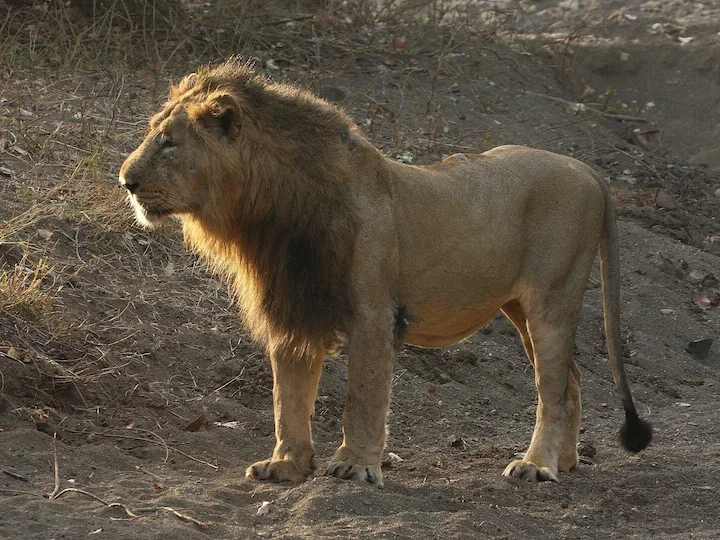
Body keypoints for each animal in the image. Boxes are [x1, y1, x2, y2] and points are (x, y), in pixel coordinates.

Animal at [119, 59, 652, 486]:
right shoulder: (293, 309)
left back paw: (536, 465)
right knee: (571, 380)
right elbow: (287, 399)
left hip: (551, 300)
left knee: (553, 391)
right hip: (519, 308)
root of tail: (586, 168)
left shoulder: (374, 314)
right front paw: (287, 465)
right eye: (154, 134)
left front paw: (356, 465)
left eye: (169, 143)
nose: (125, 181)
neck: (267, 212)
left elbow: (362, 395)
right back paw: (565, 462)